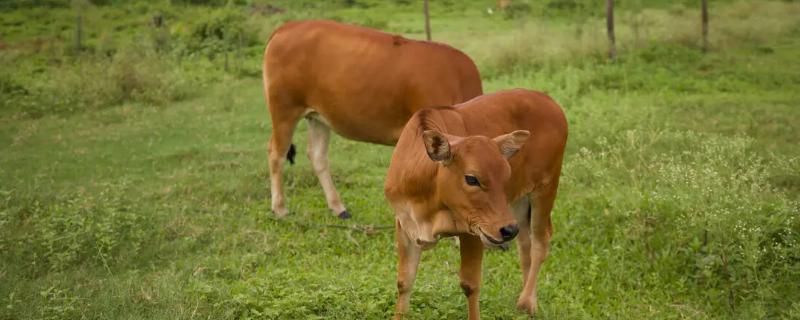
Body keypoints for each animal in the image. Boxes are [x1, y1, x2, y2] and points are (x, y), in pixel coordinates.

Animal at [262, 20, 482, 219]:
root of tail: (287, 27)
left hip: (318, 116)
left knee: (317, 155)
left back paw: (338, 208)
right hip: (285, 109)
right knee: (276, 153)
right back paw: (280, 208)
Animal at [382, 89, 564, 318]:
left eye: (506, 175)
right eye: (471, 179)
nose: (506, 230)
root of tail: (547, 100)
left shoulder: (474, 230)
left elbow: (470, 285)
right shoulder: (405, 225)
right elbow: (404, 282)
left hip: (545, 188)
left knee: (541, 241)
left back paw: (527, 303)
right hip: (518, 204)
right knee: (525, 243)